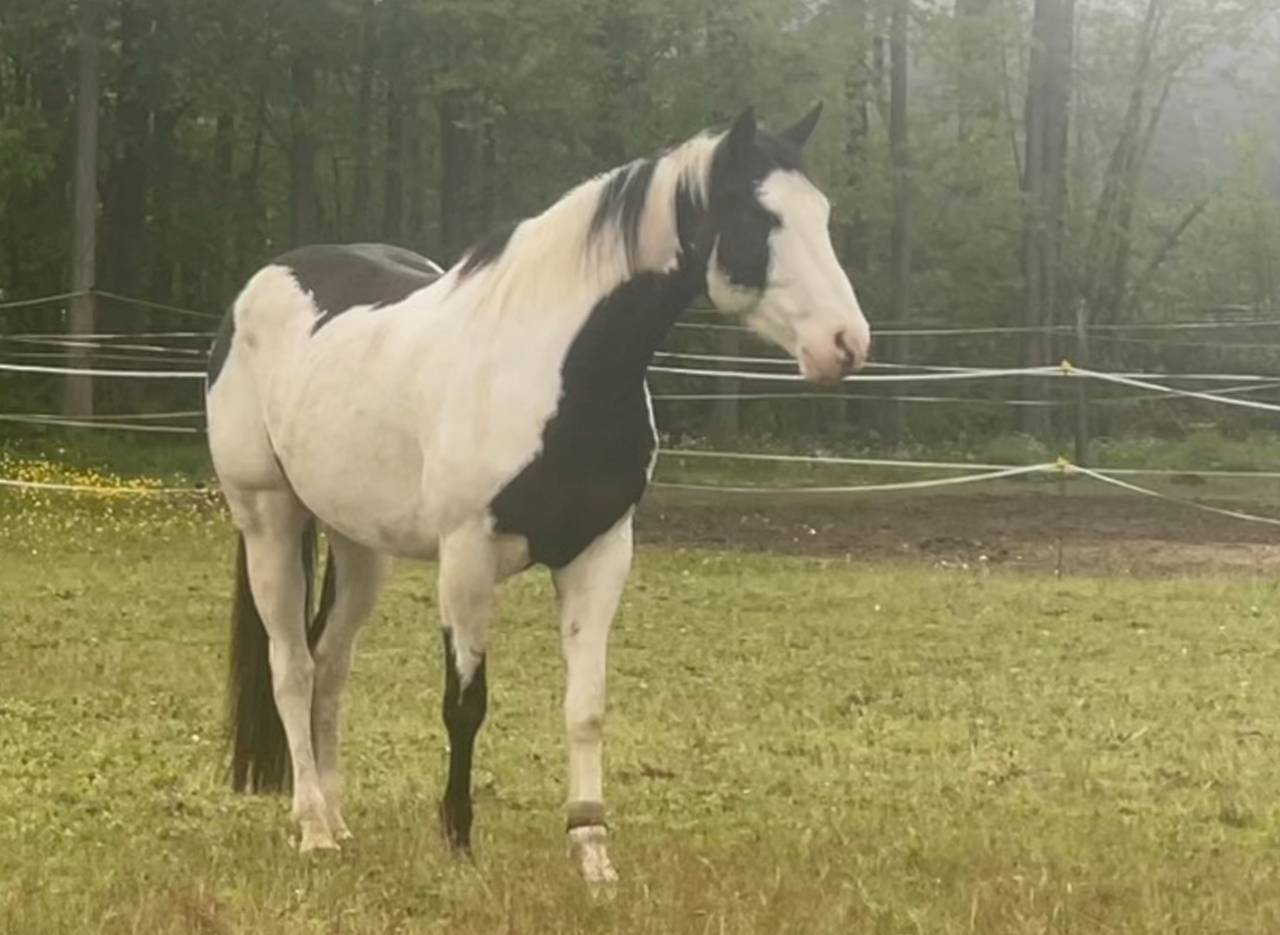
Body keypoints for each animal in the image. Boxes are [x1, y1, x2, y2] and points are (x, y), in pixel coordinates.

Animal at [205, 104, 870, 883]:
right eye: (760, 216)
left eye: (821, 213)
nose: (846, 343)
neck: (555, 367)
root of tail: (257, 289)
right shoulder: (467, 558)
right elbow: (465, 704)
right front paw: (457, 840)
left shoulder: (599, 553)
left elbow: (586, 706)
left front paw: (592, 852)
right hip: (268, 520)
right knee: (292, 666)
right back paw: (311, 825)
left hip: (361, 545)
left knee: (330, 664)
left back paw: (338, 824)